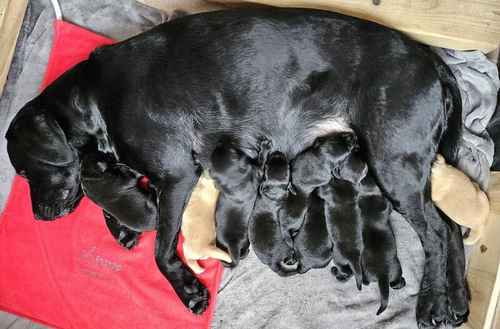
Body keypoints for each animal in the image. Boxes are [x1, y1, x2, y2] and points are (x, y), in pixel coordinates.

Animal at [5, 7, 464, 326]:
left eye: (25, 172)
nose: (39, 217)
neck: (96, 97)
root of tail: (431, 60)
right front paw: (121, 225)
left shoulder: (178, 176)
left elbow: (161, 251)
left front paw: (188, 291)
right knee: (450, 227)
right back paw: (457, 300)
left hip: (392, 163)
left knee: (436, 234)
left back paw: (430, 303)